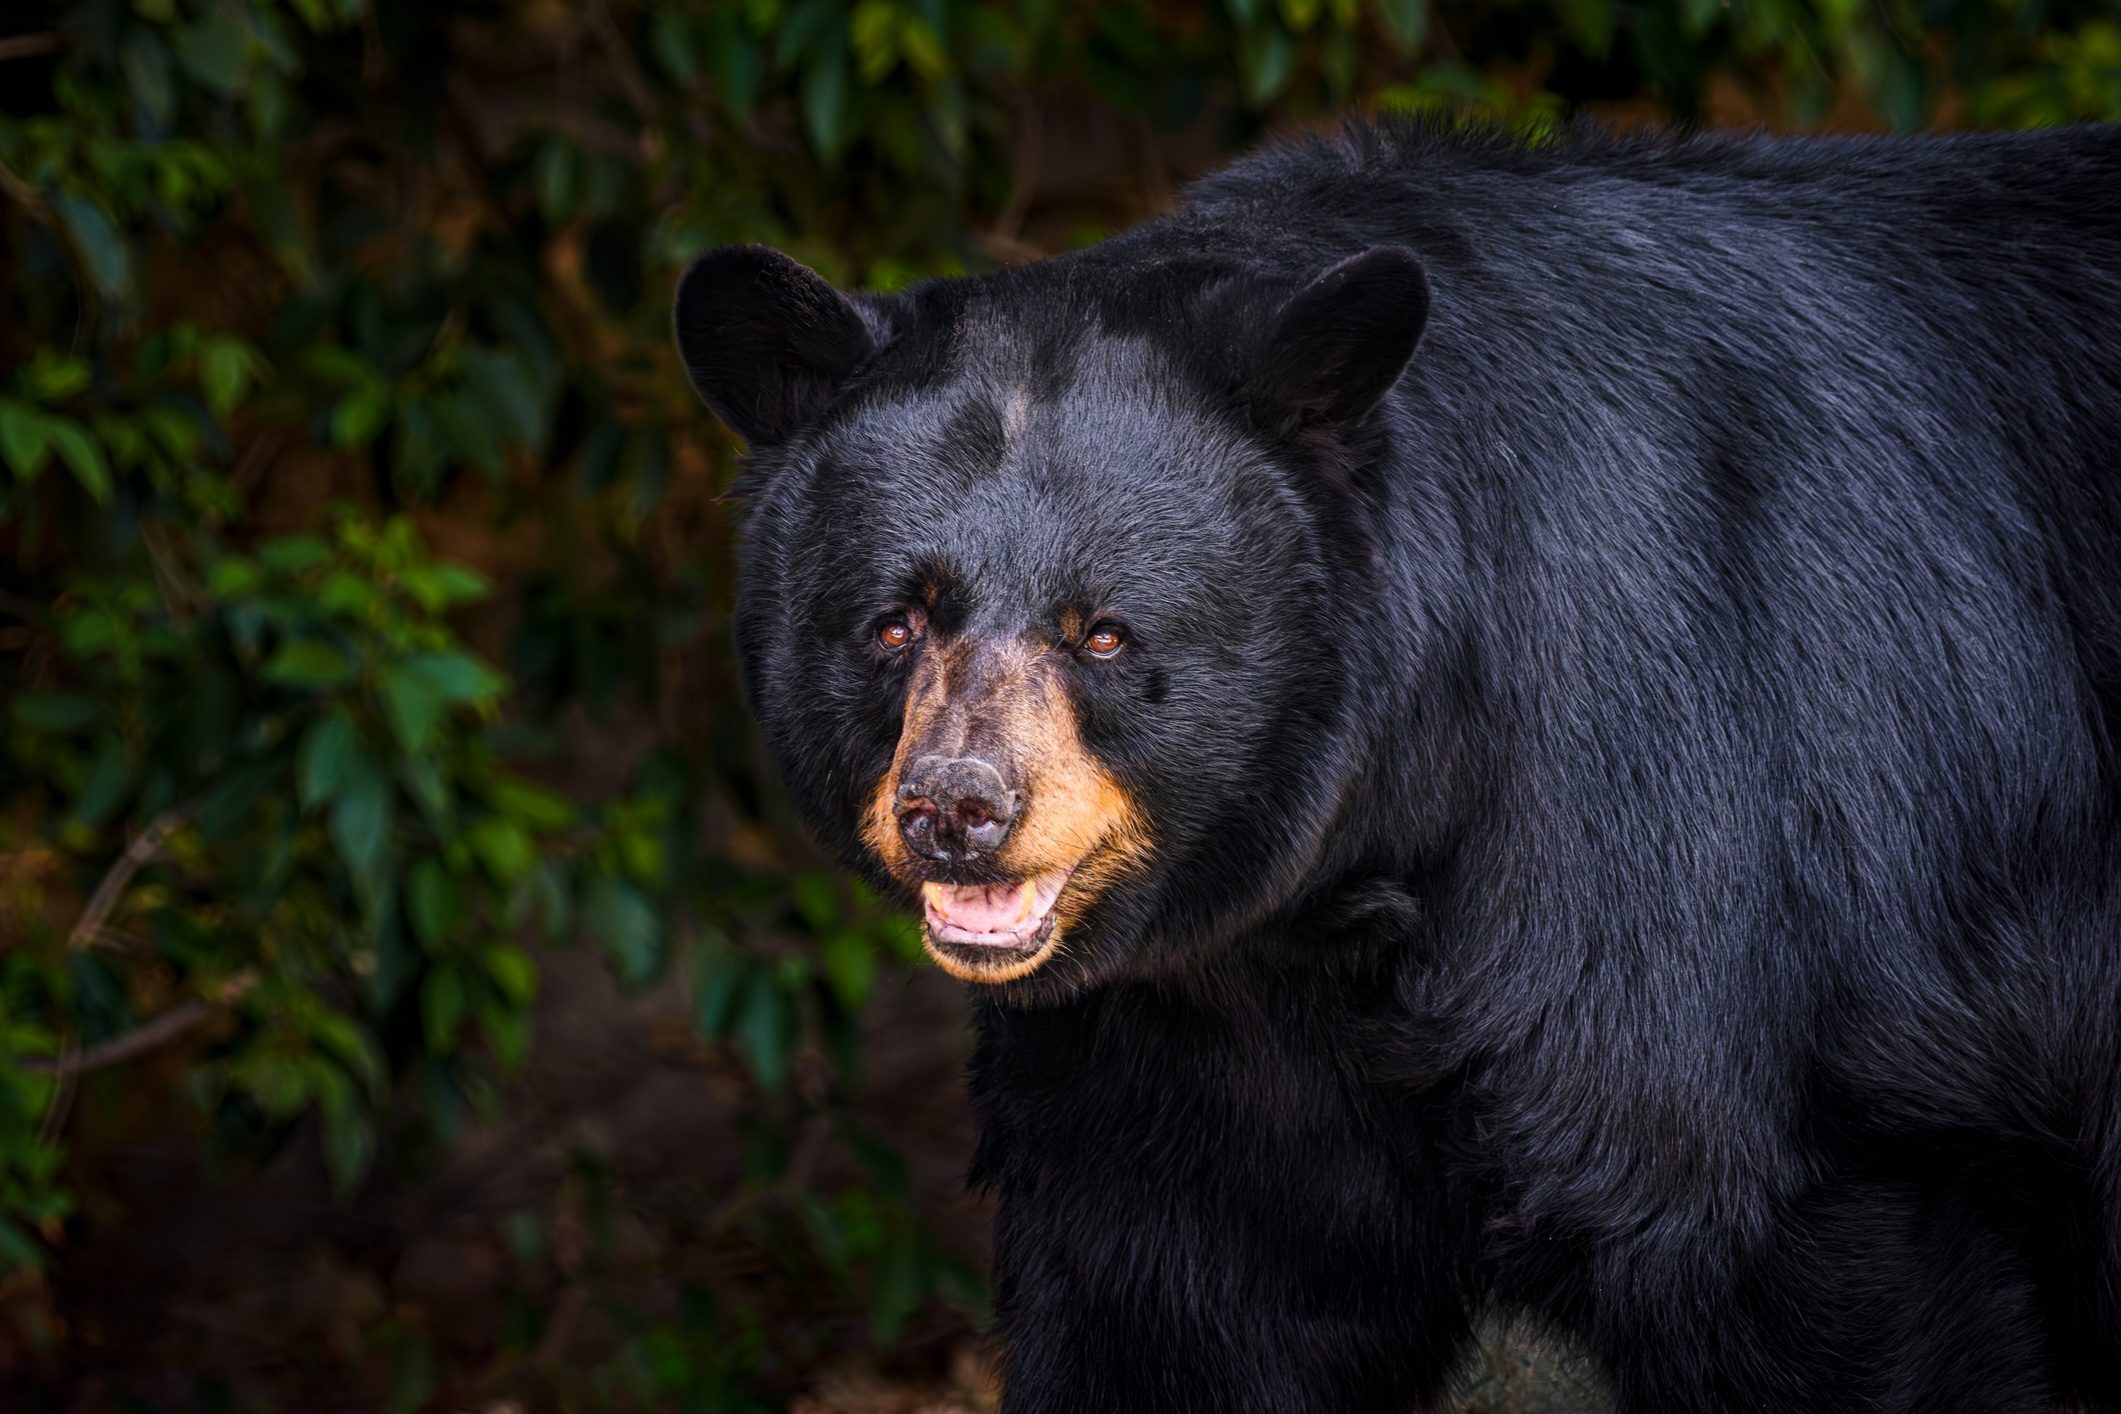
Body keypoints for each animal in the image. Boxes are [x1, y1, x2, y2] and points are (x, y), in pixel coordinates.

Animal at [672, 120, 2121, 1412]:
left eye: (1104, 631)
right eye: (894, 621)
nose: (958, 810)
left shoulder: (1696, 887)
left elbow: (1748, 1219)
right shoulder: (1167, 1075)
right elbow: (1165, 1318)